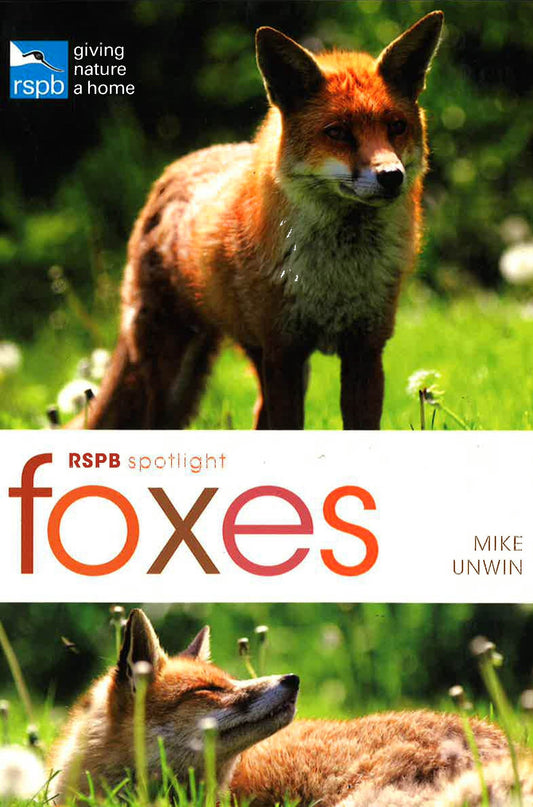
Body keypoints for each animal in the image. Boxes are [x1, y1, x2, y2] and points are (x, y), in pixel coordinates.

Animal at [80, 11, 444, 431]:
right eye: (337, 132)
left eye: (396, 126)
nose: (391, 176)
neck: (335, 277)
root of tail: (174, 170)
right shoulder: (283, 351)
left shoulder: (364, 350)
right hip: (174, 368)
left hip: (251, 359)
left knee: (257, 416)